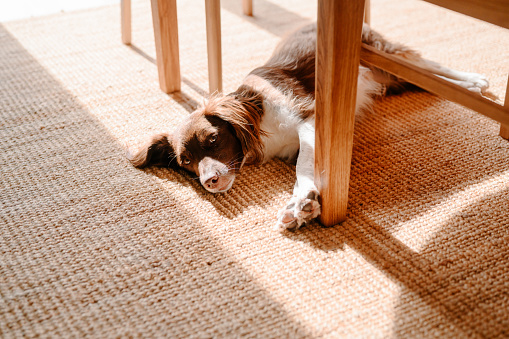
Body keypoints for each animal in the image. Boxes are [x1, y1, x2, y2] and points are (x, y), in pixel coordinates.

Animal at [129, 23, 490, 231]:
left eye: (214, 139)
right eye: (186, 162)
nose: (210, 182)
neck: (259, 117)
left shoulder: (309, 119)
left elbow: (306, 165)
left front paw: (303, 202)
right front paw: (304, 206)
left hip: (383, 53)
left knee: (432, 67)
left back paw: (473, 81)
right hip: (389, 78)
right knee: (423, 80)